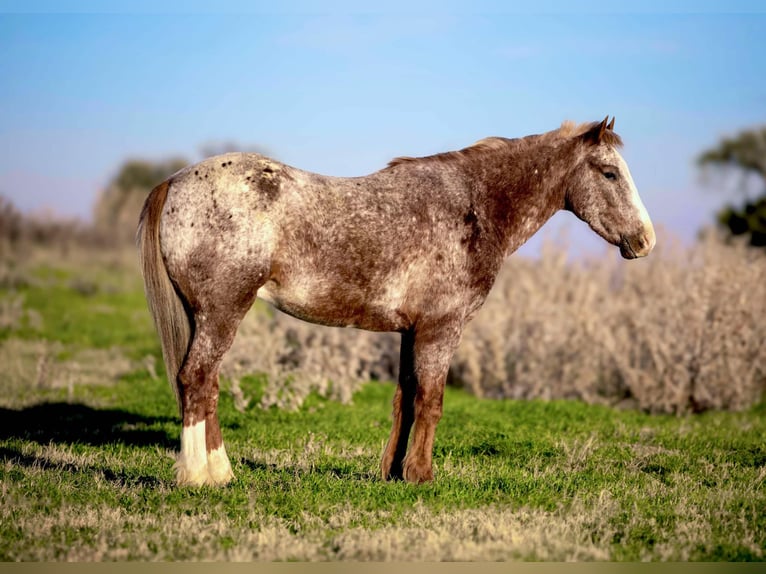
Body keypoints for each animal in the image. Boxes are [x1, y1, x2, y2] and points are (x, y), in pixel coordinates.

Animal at [136, 116, 656, 486]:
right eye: (610, 173)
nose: (645, 240)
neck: (474, 205)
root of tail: (176, 181)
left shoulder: (412, 331)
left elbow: (405, 398)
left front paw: (393, 471)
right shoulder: (441, 328)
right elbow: (431, 400)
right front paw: (421, 475)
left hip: (206, 316)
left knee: (206, 385)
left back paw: (221, 473)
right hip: (222, 312)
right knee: (197, 380)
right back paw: (200, 477)